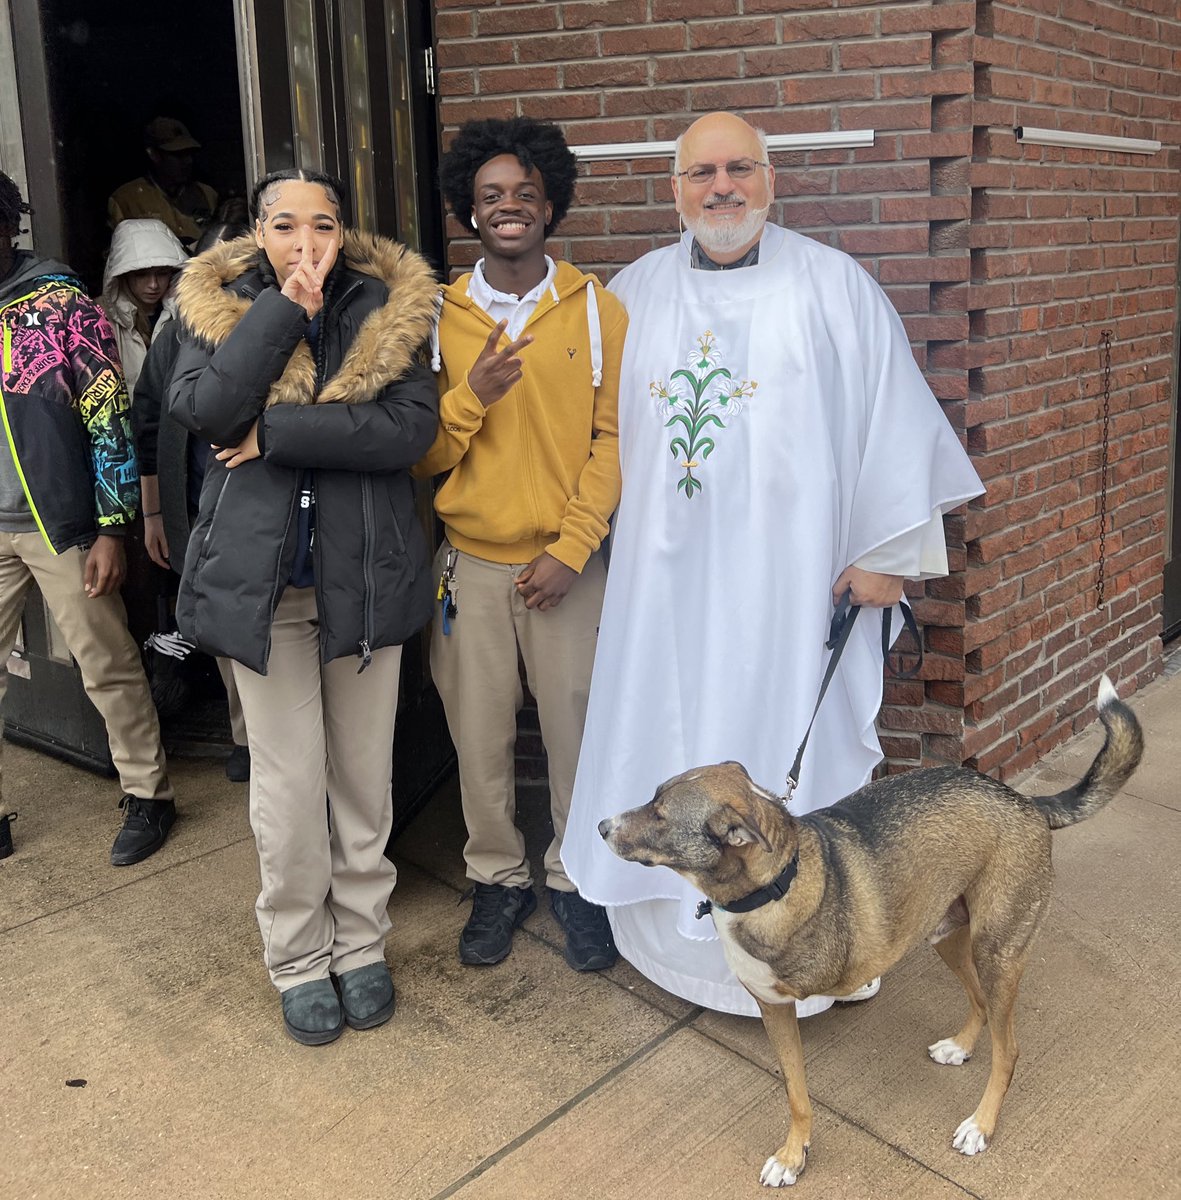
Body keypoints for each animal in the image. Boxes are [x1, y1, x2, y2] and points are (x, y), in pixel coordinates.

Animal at [604, 681, 1137, 1185]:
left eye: (660, 815)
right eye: (652, 797)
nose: (601, 826)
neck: (773, 885)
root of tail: (1024, 800)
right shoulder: (774, 1009)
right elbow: (795, 1093)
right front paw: (794, 1155)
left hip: (997, 953)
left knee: (1008, 1050)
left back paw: (980, 1125)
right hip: (947, 936)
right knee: (980, 1003)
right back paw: (961, 1046)